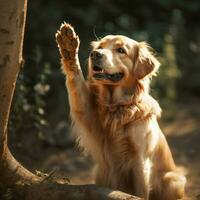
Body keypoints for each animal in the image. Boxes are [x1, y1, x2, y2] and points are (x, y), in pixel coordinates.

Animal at [55, 22, 186, 199]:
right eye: (100, 46)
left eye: (121, 50)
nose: (95, 54)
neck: (117, 107)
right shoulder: (86, 112)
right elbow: (75, 82)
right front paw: (68, 47)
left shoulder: (140, 161)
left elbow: (140, 192)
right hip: (99, 172)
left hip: (173, 180)